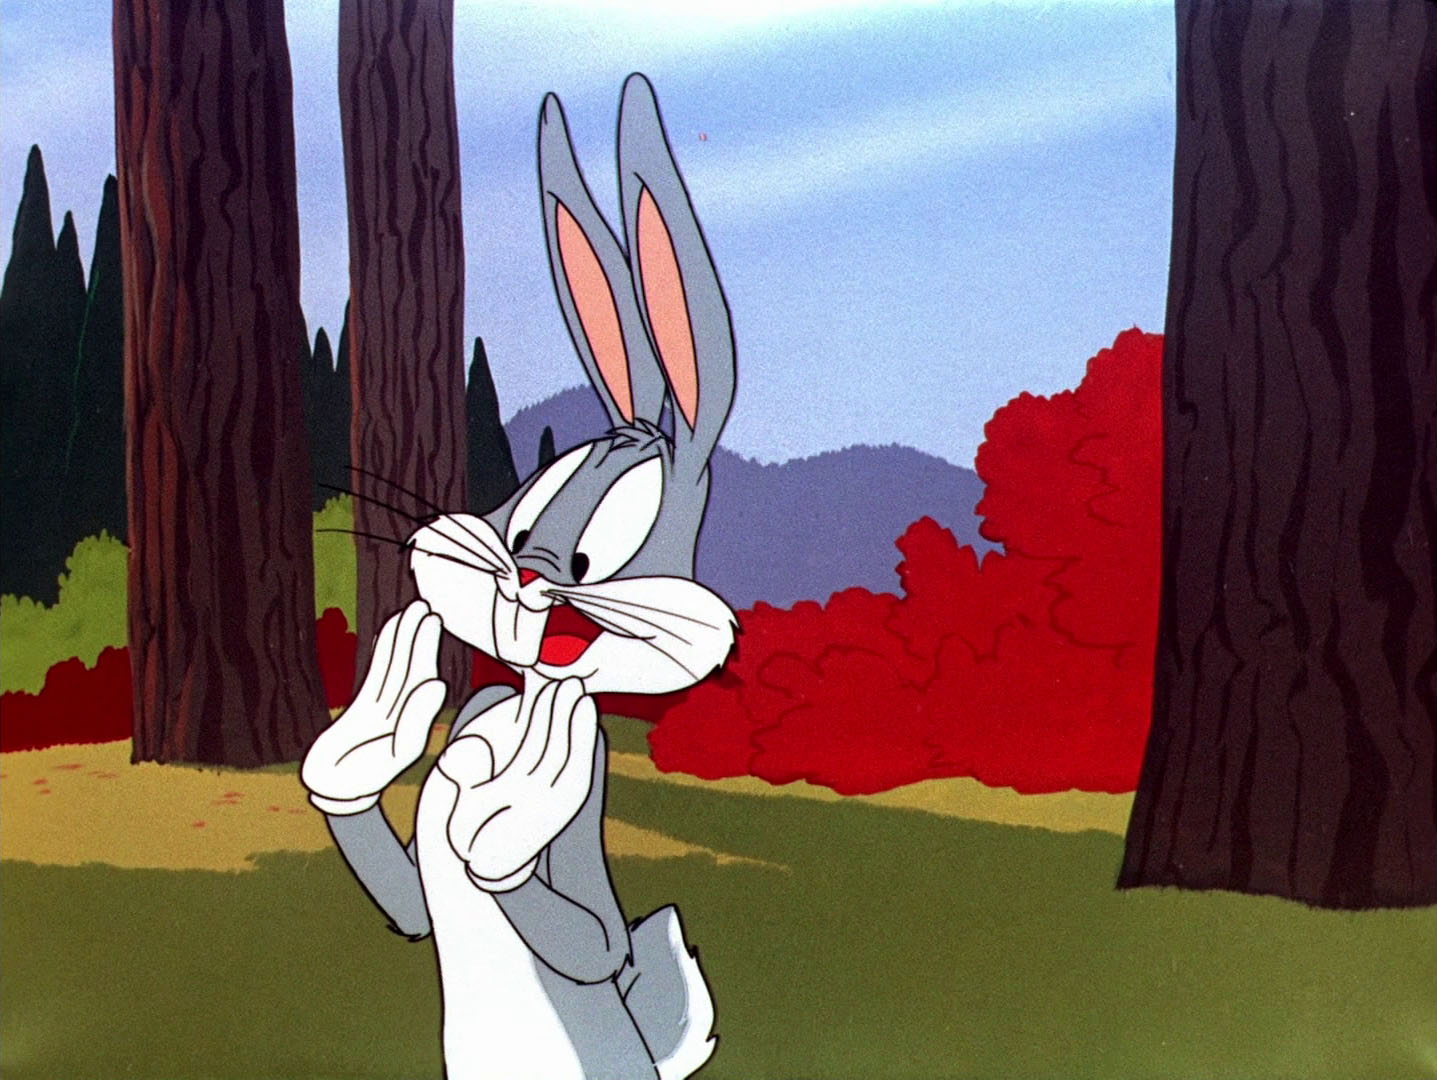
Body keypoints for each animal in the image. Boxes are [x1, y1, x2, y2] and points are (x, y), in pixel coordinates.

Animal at [301, 73, 737, 1080]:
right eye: (525, 521)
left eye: (591, 561)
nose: (532, 575)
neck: (522, 705)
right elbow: (410, 899)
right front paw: (369, 735)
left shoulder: (590, 781)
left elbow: (598, 937)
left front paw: (502, 815)